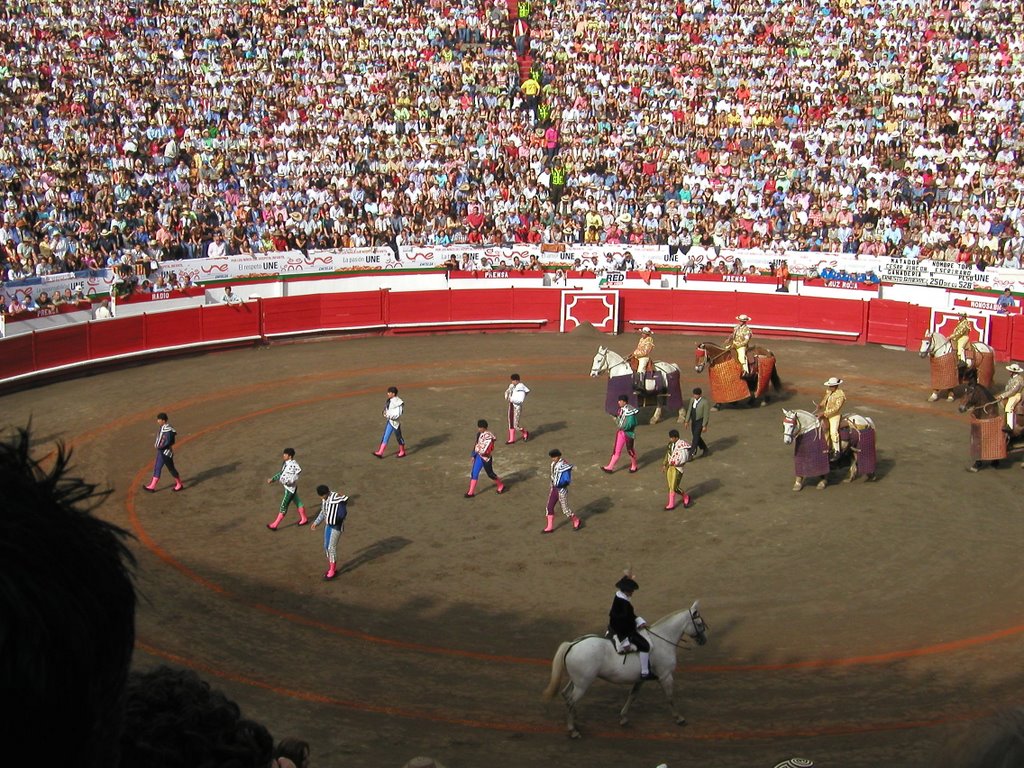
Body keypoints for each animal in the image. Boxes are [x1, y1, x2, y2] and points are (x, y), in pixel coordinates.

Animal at [544, 602, 704, 741]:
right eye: (700, 624)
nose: (704, 640)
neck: (662, 641)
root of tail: (572, 644)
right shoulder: (666, 676)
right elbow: (670, 697)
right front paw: (679, 718)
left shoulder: (641, 679)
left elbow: (632, 696)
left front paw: (623, 718)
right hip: (583, 684)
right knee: (571, 700)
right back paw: (573, 730)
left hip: (577, 681)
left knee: (566, 695)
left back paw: (574, 719)